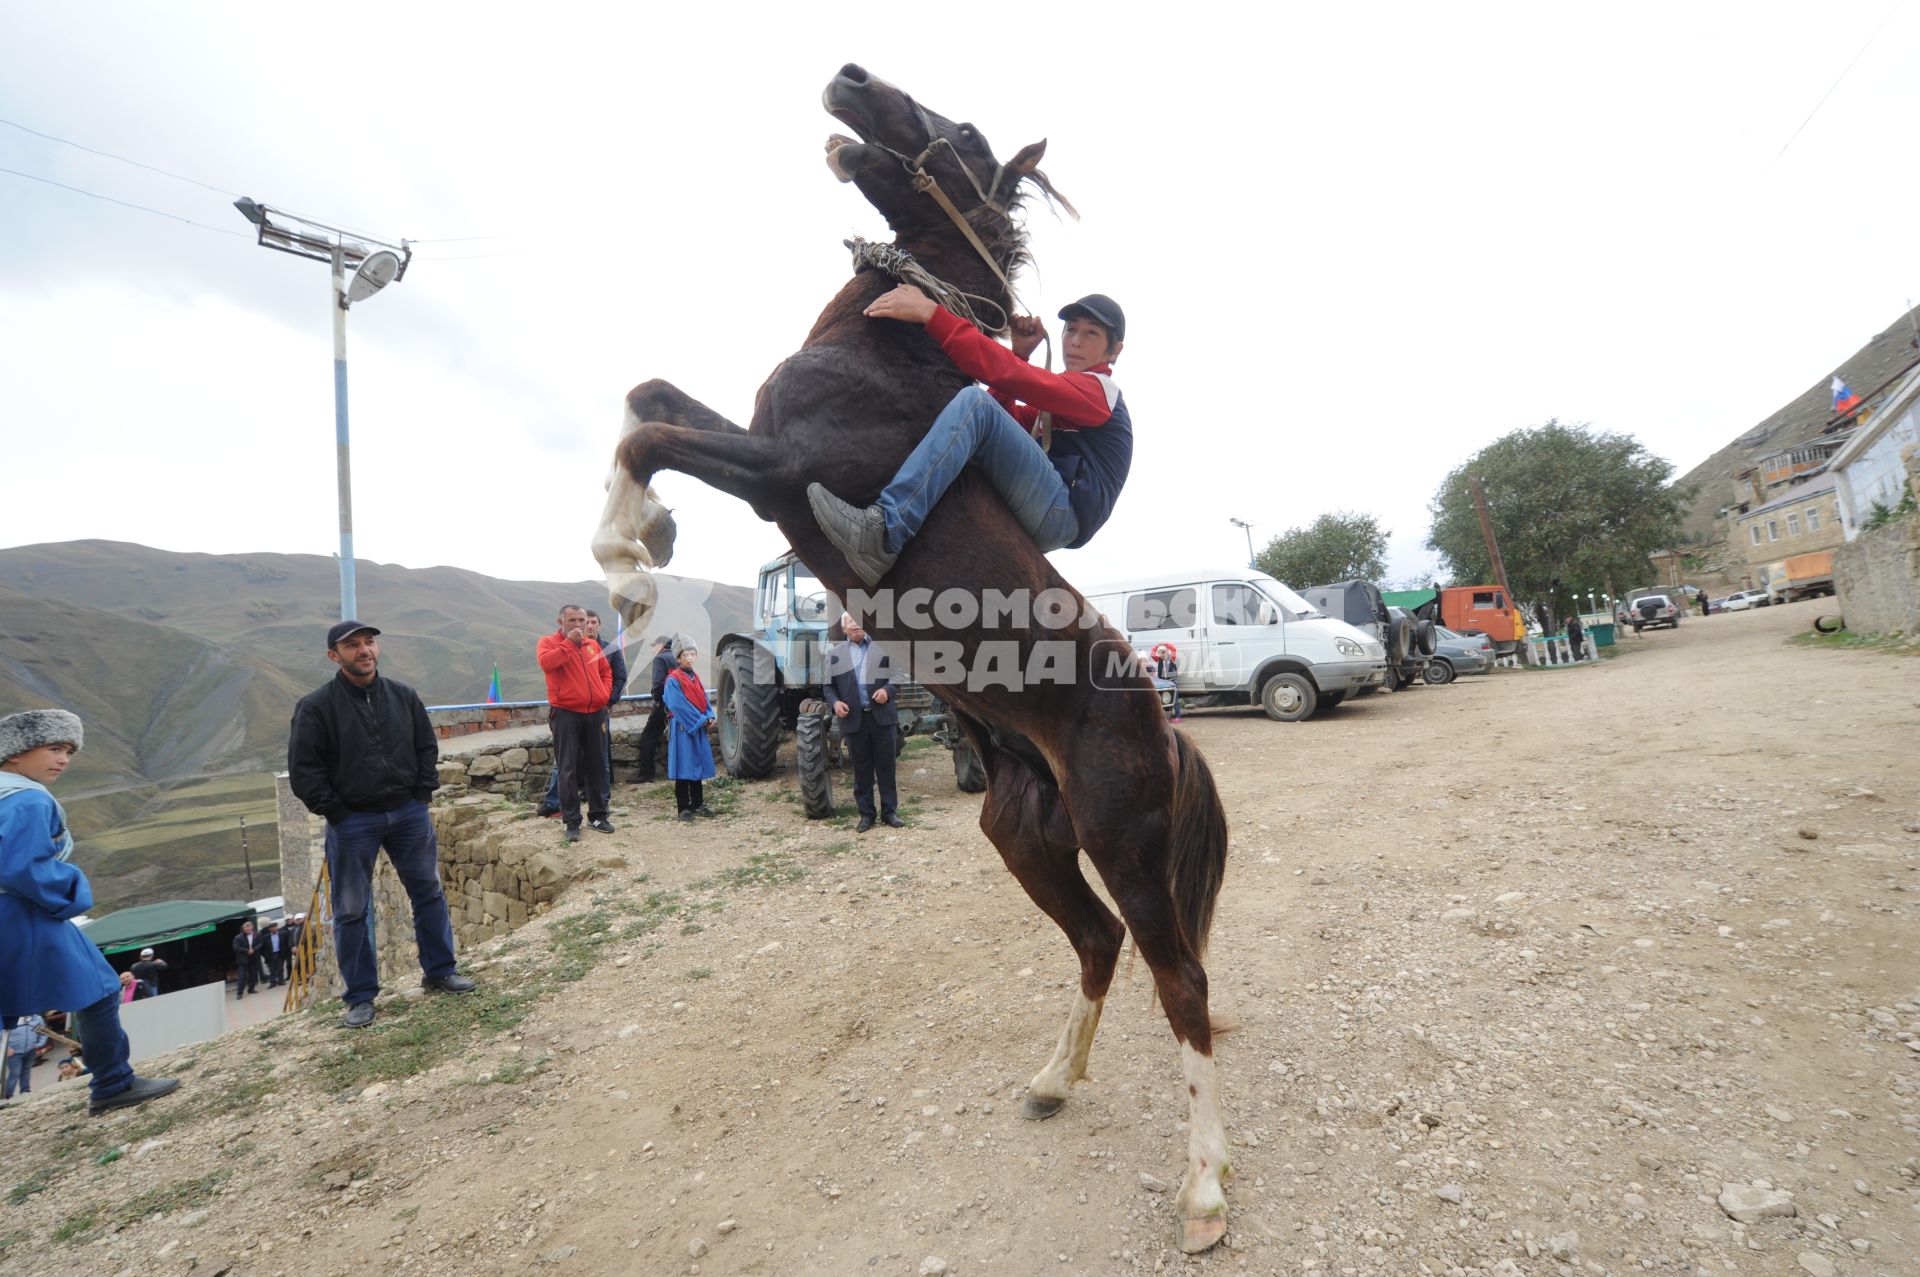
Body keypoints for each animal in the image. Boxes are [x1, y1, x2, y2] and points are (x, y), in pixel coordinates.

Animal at [591, 64, 1236, 1252]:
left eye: (966, 133)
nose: (848, 79)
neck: (891, 348)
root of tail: (1163, 730)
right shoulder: (757, 449)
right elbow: (649, 397)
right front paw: (642, 534)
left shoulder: (780, 471)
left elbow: (650, 432)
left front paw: (626, 565)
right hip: (1025, 837)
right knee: (1097, 945)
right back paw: (1052, 1079)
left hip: (1125, 847)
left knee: (1181, 977)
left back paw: (1205, 1189)